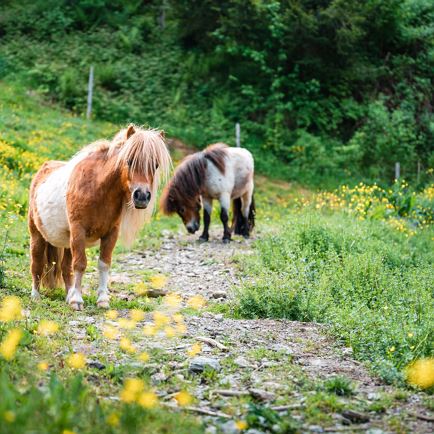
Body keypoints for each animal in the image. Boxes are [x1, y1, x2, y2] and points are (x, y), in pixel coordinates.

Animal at [27, 124, 171, 310]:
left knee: (66, 268)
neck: (96, 188)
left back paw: (68, 295)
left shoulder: (111, 234)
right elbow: (80, 264)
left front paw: (102, 299)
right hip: (37, 235)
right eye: (129, 160)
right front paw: (77, 300)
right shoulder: (79, 231)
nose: (142, 196)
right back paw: (36, 296)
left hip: (67, 241)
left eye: (155, 165)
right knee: (37, 264)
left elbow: (103, 264)